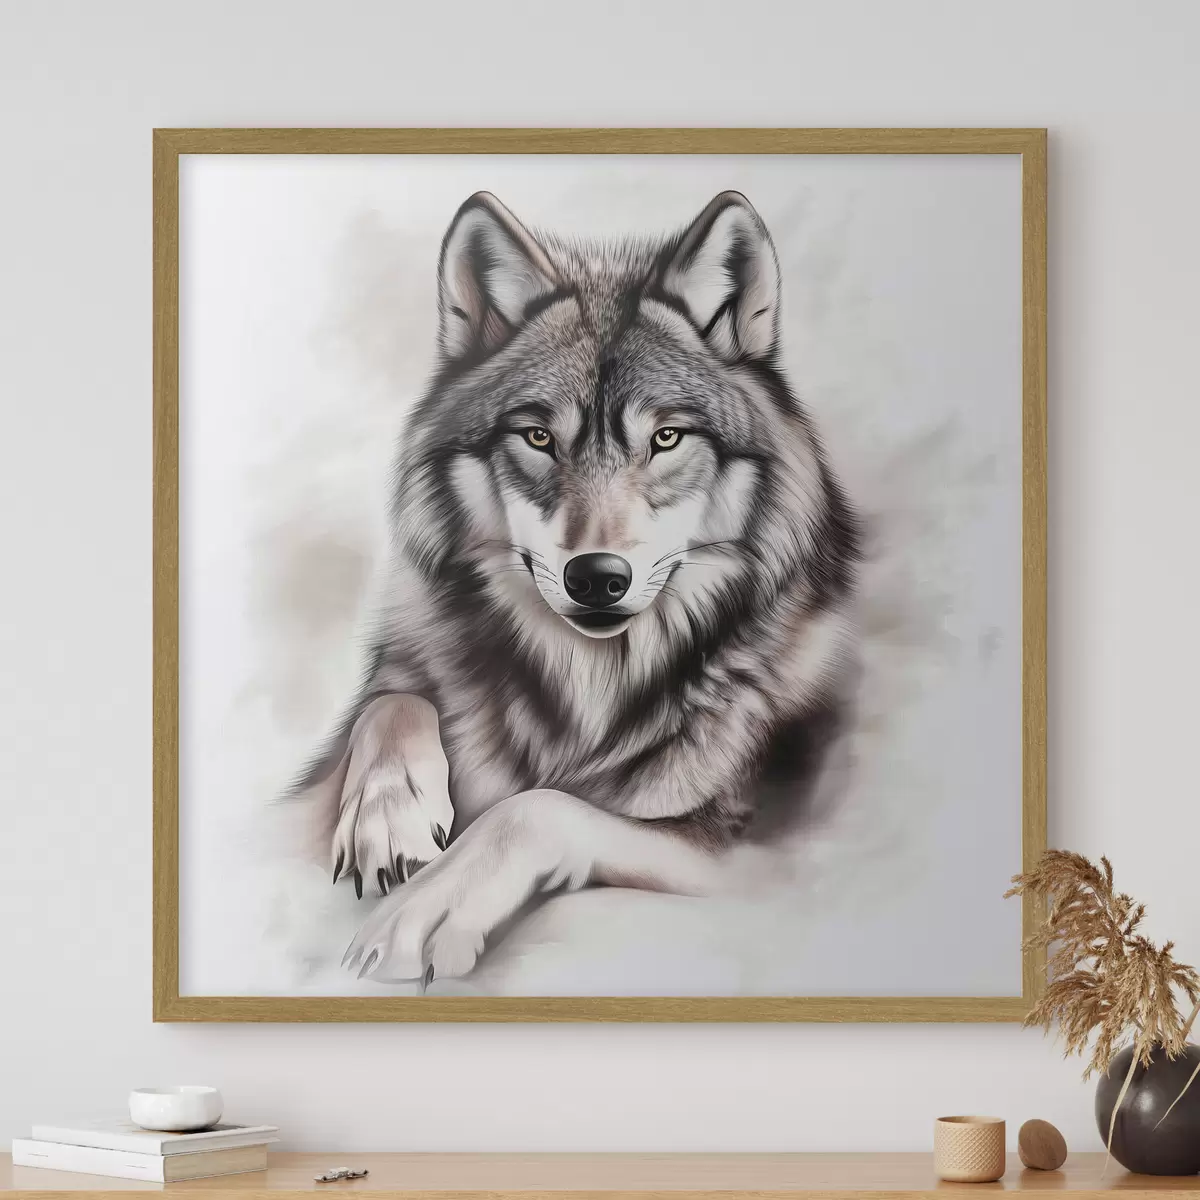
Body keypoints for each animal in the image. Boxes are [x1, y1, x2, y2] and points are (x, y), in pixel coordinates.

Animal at [290, 190, 859, 983]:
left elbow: (538, 807)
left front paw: (425, 909)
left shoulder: (751, 855)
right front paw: (389, 819)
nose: (596, 578)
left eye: (666, 438)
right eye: (537, 438)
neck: (588, 688)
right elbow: (394, 701)